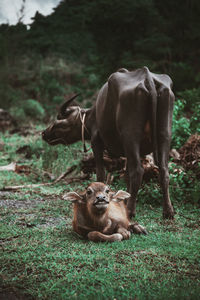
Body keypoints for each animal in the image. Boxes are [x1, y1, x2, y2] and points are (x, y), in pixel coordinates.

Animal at [42, 67, 175, 219]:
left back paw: (130, 211)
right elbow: (126, 175)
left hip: (131, 136)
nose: (44, 133)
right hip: (164, 134)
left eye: (59, 120)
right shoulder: (128, 152)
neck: (93, 116)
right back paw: (168, 211)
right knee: (163, 170)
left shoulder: (97, 143)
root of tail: (148, 78)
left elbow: (101, 174)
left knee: (138, 171)